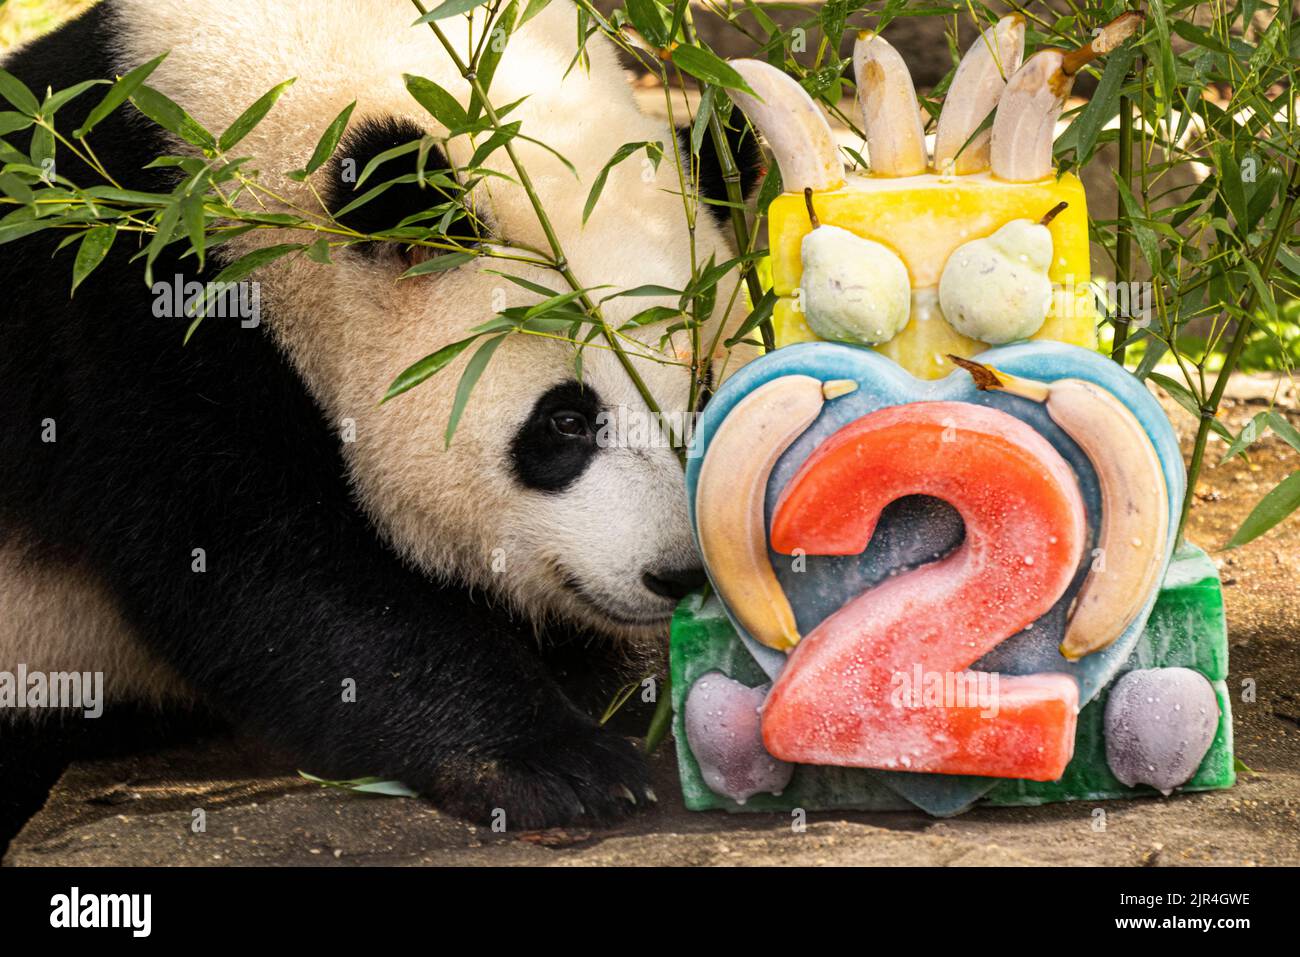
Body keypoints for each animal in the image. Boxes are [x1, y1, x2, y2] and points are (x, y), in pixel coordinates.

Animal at [0, 0, 759, 837]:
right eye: (564, 422)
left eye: (703, 391)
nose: (678, 572)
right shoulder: (139, 309)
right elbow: (264, 565)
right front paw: (559, 762)